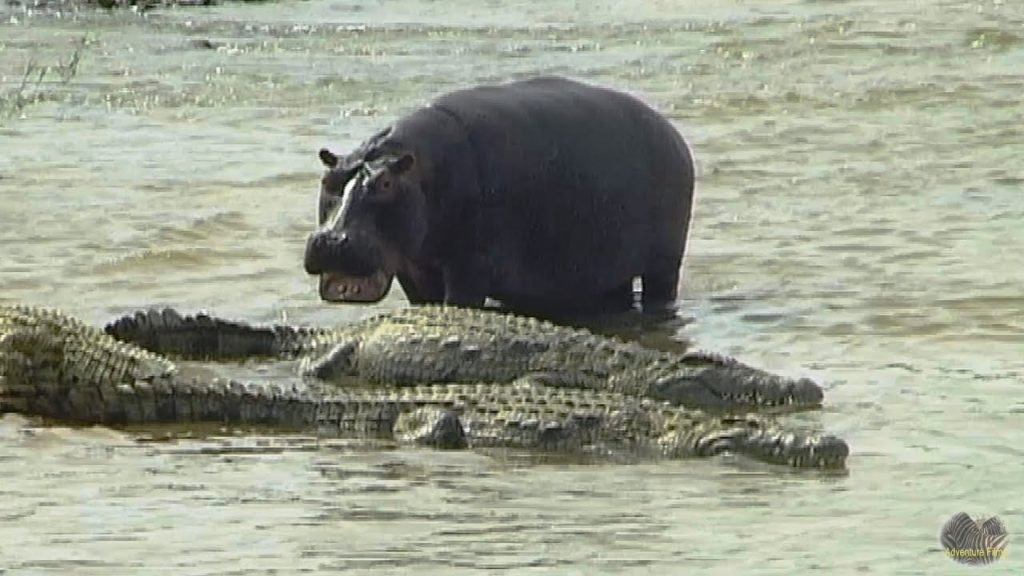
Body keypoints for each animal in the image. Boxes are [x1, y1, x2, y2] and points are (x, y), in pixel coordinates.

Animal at [303, 76, 695, 314]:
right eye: (327, 178)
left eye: (385, 184)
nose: (333, 240)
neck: (415, 167)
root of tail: (673, 132)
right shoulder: (414, 268)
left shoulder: (468, 266)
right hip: (608, 267)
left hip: (664, 263)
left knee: (660, 290)